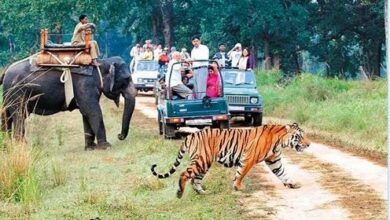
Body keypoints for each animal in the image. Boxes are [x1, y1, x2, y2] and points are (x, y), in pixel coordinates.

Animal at [0, 55, 136, 150]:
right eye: (126, 80)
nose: (119, 136)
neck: (101, 62)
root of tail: (5, 71)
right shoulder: (85, 84)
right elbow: (92, 111)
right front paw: (106, 146)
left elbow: (86, 113)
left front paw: (90, 148)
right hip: (17, 92)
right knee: (19, 115)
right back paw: (21, 146)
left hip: (8, 94)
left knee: (6, 117)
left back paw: (7, 146)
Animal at [150, 123, 310, 199]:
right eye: (300, 136)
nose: (308, 144)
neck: (280, 142)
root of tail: (191, 135)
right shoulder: (248, 158)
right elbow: (241, 173)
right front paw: (238, 187)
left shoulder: (274, 160)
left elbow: (282, 173)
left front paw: (292, 183)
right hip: (202, 160)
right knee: (184, 174)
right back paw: (179, 193)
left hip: (204, 164)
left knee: (195, 179)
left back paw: (203, 193)